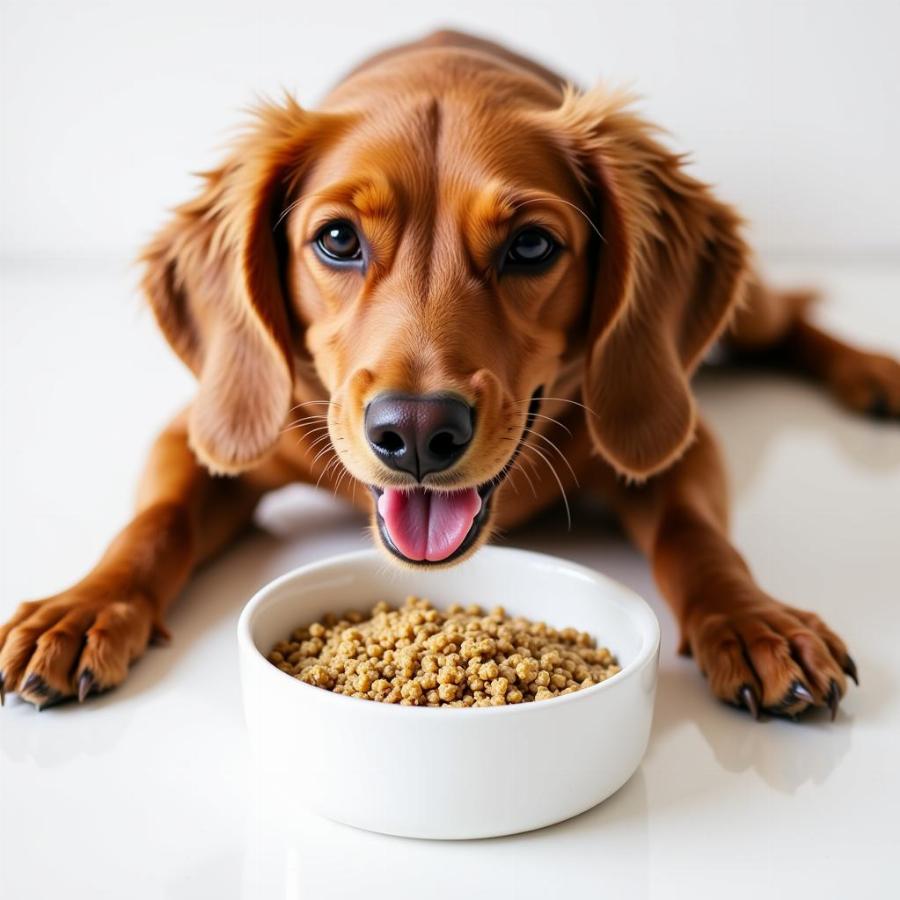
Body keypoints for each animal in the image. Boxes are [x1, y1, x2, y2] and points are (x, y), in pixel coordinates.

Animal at [3, 29, 896, 716]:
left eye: (531, 245)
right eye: (337, 239)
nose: (417, 433)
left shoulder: (677, 441)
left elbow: (699, 539)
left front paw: (753, 621)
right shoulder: (202, 432)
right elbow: (153, 525)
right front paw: (83, 609)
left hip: (748, 311)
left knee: (793, 320)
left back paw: (873, 374)